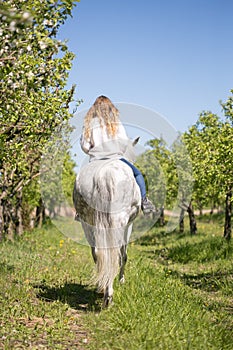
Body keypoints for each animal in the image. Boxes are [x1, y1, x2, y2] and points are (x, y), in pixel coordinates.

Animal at [73, 142, 141, 306]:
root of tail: (103, 175)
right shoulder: (129, 224)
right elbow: (124, 255)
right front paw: (121, 280)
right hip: (118, 221)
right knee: (114, 254)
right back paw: (108, 295)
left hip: (87, 221)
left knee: (98, 252)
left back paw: (102, 287)